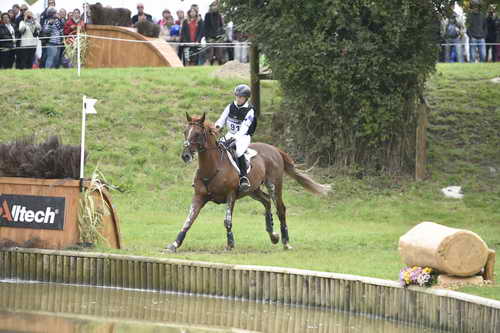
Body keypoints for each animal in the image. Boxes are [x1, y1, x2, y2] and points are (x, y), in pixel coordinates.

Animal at [163, 112, 332, 252]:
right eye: (185, 132)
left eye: (197, 134)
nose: (185, 156)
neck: (212, 167)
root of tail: (275, 150)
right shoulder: (199, 197)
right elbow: (188, 220)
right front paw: (174, 244)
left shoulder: (231, 195)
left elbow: (227, 220)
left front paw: (230, 244)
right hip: (253, 190)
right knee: (266, 201)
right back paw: (273, 235)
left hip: (273, 185)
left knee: (280, 208)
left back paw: (286, 242)